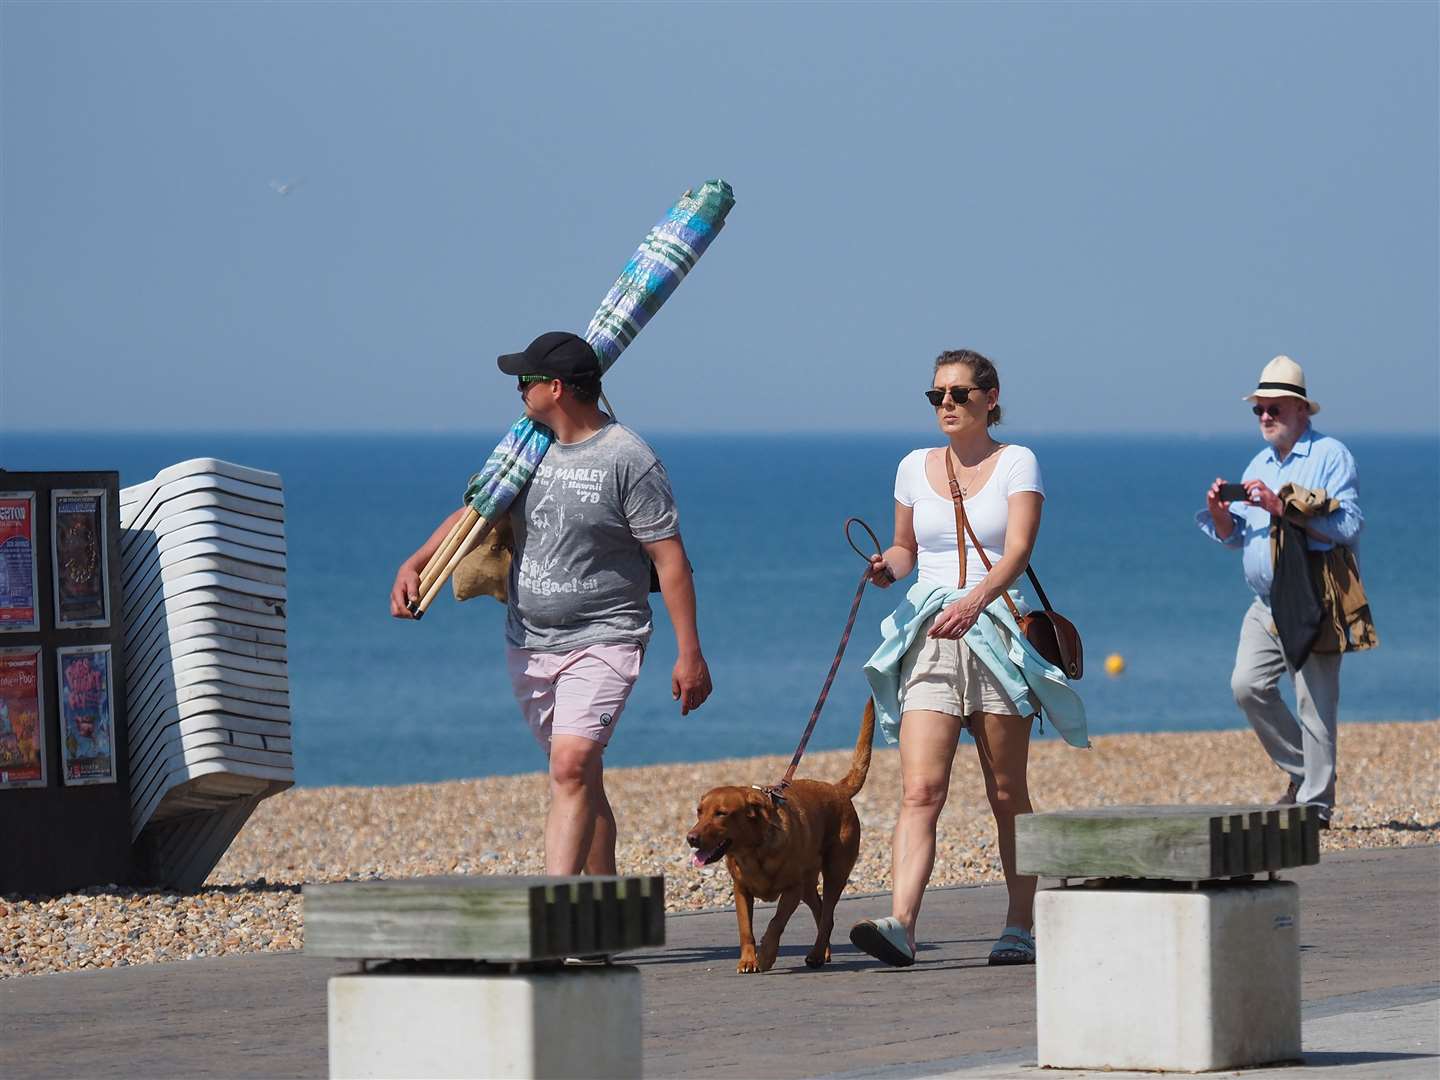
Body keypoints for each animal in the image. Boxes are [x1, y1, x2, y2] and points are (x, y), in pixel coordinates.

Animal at [688, 696, 875, 979]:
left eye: (721, 813)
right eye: (699, 812)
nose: (691, 838)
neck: (753, 852)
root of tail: (837, 790)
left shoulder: (791, 890)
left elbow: (775, 923)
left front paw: (766, 955)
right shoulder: (741, 891)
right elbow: (746, 930)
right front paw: (748, 960)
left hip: (834, 872)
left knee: (827, 915)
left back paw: (816, 954)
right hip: (809, 883)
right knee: (821, 911)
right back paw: (824, 952)